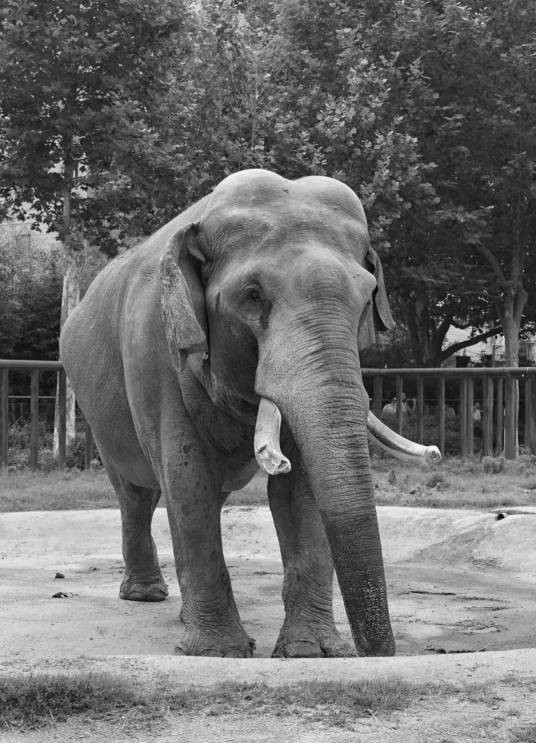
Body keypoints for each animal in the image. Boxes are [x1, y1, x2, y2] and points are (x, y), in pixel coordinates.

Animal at [60, 169, 436, 658]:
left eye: (368, 295)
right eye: (253, 296)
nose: (377, 654)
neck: (202, 216)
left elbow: (299, 490)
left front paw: (311, 652)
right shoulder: (152, 355)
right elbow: (187, 479)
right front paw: (218, 652)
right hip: (98, 411)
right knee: (137, 493)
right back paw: (146, 595)